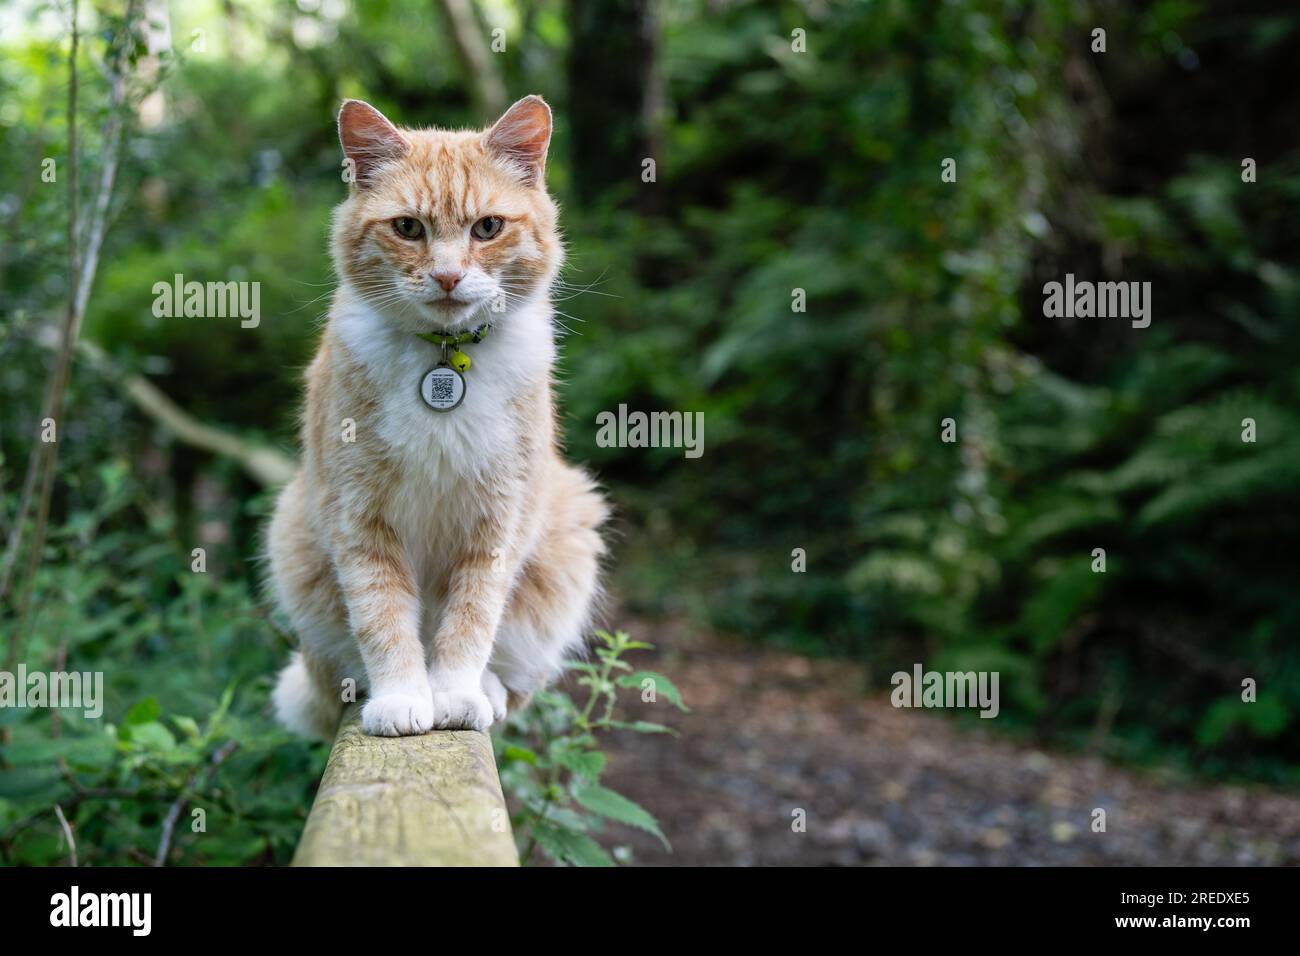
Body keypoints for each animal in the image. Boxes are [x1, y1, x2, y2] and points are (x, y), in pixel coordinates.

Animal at [267, 97, 608, 738]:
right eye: (408, 228)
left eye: (487, 228)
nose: (448, 276)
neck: (443, 358)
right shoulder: (359, 517)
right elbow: (382, 616)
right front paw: (403, 697)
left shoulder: (498, 519)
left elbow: (470, 619)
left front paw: (454, 693)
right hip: (292, 534)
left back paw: (488, 690)